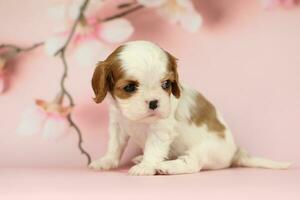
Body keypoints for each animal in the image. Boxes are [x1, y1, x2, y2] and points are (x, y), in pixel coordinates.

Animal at [88, 40, 290, 175]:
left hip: (203, 150)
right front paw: (106, 161)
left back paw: (166, 166)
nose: (154, 102)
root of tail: (235, 152)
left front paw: (146, 166)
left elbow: (154, 148)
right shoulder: (117, 124)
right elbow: (115, 145)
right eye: (129, 87)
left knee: (193, 164)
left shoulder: (161, 129)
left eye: (166, 84)